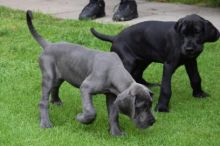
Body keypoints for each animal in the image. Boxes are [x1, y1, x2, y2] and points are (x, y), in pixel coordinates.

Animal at [26, 10, 156, 136]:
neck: (114, 71)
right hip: (48, 76)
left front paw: (116, 133)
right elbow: (91, 111)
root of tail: (49, 45)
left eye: (150, 104)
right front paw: (81, 118)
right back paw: (45, 123)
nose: (153, 122)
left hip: (60, 75)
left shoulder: (112, 95)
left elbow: (114, 114)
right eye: (141, 107)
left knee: (55, 87)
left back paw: (56, 101)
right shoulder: (86, 87)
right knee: (43, 102)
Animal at [90, 14, 219, 112]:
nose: (189, 49)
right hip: (128, 62)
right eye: (183, 33)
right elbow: (166, 88)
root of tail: (115, 37)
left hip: (144, 59)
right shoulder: (169, 65)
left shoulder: (191, 61)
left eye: (197, 32)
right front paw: (162, 108)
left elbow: (196, 78)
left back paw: (147, 86)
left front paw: (199, 94)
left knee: (137, 74)